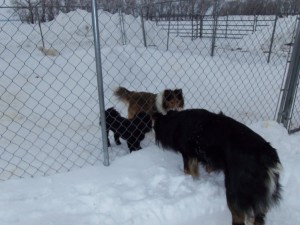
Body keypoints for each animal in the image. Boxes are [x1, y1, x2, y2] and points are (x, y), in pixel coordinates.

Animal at [154, 109, 282, 225]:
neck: (177, 122)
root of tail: (267, 157)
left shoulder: (188, 155)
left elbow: (189, 170)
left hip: (234, 192)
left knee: (239, 218)